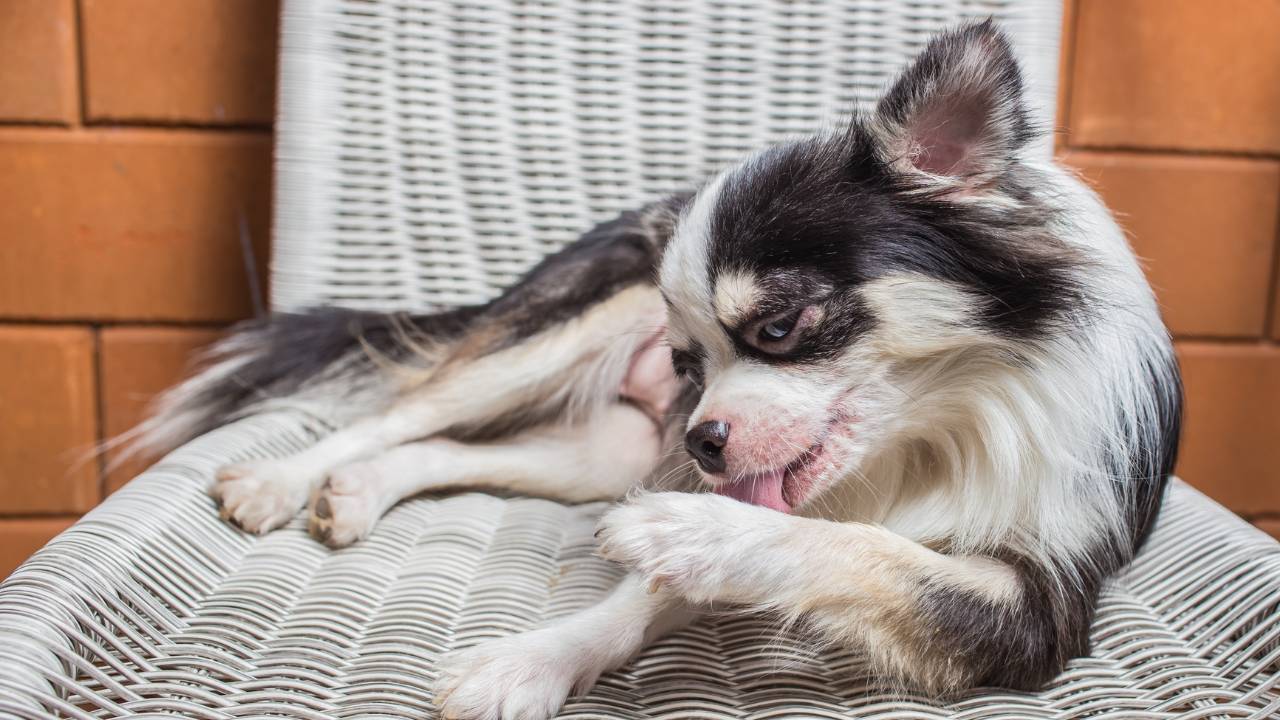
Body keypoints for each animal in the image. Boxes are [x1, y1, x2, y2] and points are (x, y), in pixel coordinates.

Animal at [129, 20, 1177, 717]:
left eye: (781, 328)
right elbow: (654, 595)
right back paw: (282, 480)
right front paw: (534, 659)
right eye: (686, 362)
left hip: (608, 452)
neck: (928, 438)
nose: (702, 439)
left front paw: (682, 533)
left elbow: (850, 549)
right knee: (406, 410)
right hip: (560, 338)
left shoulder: (1037, 607)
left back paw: (356, 494)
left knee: (458, 450)